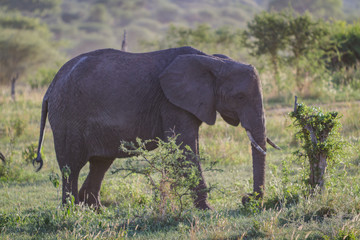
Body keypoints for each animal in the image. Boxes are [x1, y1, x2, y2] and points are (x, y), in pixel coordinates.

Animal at [33, 46, 278, 209]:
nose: (246, 199)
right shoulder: (170, 102)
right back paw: (72, 210)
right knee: (71, 166)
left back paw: (95, 209)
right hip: (67, 115)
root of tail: (51, 86)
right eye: (240, 97)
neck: (213, 60)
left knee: (100, 163)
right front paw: (206, 209)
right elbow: (185, 146)